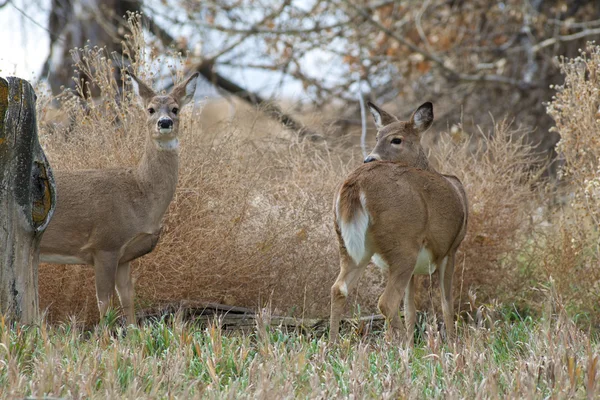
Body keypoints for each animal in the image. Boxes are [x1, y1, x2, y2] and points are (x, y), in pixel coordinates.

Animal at [39, 70, 199, 324]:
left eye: (175, 109)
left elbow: (128, 301)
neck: (140, 194)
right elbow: (104, 304)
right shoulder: (105, 244)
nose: (165, 123)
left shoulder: (125, 257)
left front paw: (133, 333)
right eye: (150, 109)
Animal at [328, 101, 468, 344]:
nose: (369, 158)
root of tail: (356, 183)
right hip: (403, 244)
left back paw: (332, 345)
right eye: (377, 137)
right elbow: (446, 303)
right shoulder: (451, 248)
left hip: (349, 245)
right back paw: (405, 347)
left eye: (396, 139)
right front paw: (452, 342)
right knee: (386, 302)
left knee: (339, 288)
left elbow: (410, 308)